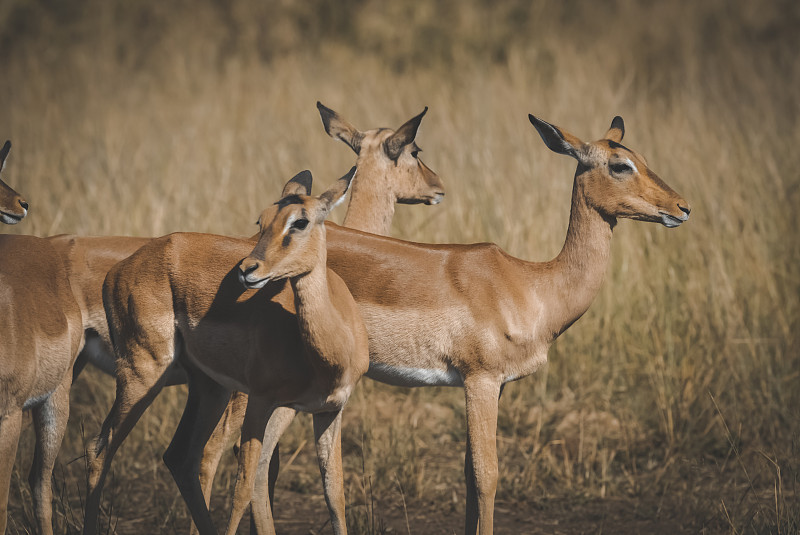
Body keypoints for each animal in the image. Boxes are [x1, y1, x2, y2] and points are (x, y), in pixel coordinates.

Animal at [81, 170, 368, 532]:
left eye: (300, 222)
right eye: (261, 220)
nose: (247, 269)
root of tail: (117, 271)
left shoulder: (330, 411)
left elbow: (334, 495)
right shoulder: (261, 402)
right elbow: (244, 487)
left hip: (209, 389)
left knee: (180, 457)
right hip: (143, 374)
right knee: (99, 450)